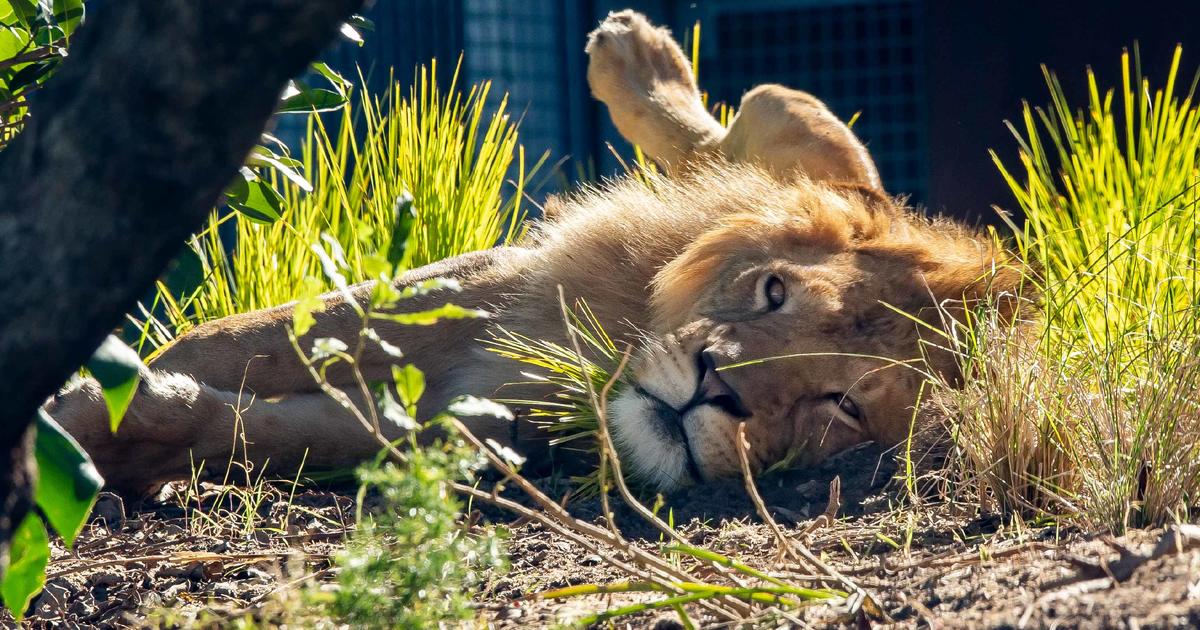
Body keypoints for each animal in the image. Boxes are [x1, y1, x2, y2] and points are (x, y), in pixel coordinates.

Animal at [46, 8, 1022, 492]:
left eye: (841, 405)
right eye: (772, 293)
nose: (711, 389)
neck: (604, 363)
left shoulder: (450, 414)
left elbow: (251, 428)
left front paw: (111, 433)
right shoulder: (497, 283)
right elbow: (248, 339)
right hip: (806, 163)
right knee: (762, 124)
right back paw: (633, 51)